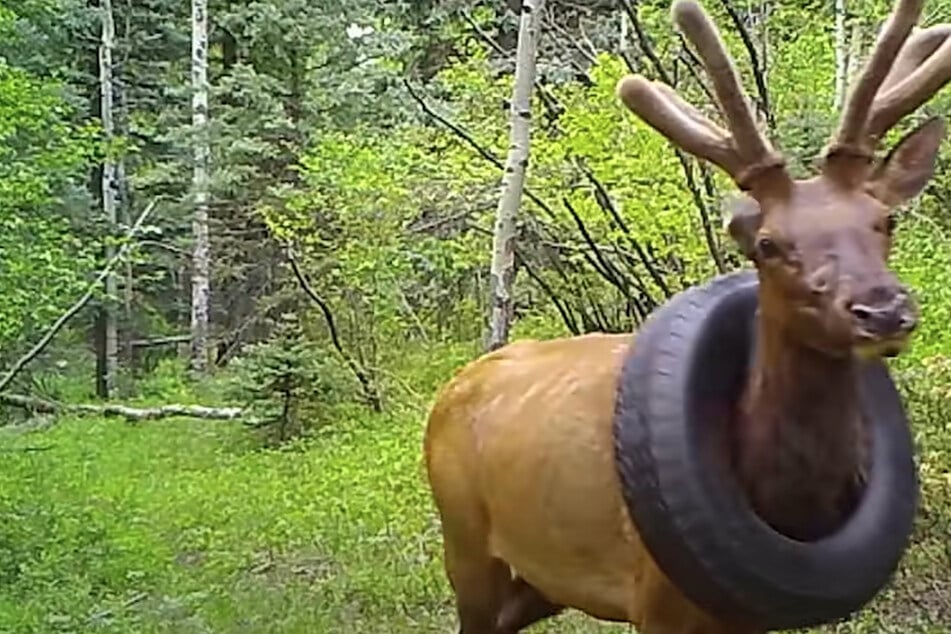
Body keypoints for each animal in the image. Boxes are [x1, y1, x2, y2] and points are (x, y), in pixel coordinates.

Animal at [426, 0, 951, 628]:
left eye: (884, 219)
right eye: (768, 244)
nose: (882, 309)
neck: (781, 500)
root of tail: (452, 388)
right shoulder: (655, 597)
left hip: (538, 583)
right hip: (464, 543)